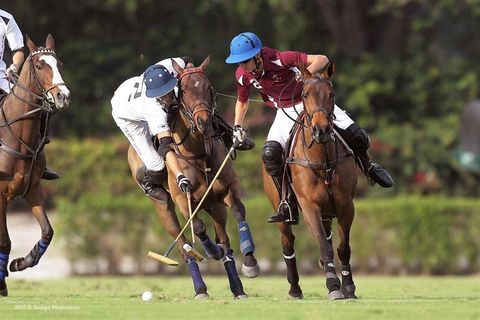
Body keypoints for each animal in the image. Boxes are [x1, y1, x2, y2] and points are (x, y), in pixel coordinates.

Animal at [0, 33, 71, 296]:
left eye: (59, 63)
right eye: (39, 66)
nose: (63, 96)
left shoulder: (32, 188)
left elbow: (48, 231)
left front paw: (22, 262)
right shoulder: (1, 195)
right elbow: (5, 240)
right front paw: (1, 283)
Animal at [127, 56, 260, 298]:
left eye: (208, 87)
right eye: (185, 91)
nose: (204, 122)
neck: (198, 152)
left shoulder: (228, 189)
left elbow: (238, 211)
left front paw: (250, 263)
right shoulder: (182, 200)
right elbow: (197, 227)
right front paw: (211, 251)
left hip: (214, 206)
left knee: (225, 242)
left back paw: (237, 288)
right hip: (164, 208)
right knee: (184, 245)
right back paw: (200, 288)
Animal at [262, 61, 360, 302]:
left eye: (331, 94)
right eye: (305, 94)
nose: (321, 130)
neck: (323, 159)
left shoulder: (346, 206)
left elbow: (343, 248)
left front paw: (349, 288)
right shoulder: (309, 206)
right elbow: (325, 248)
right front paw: (333, 287)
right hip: (281, 208)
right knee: (288, 242)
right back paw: (294, 289)